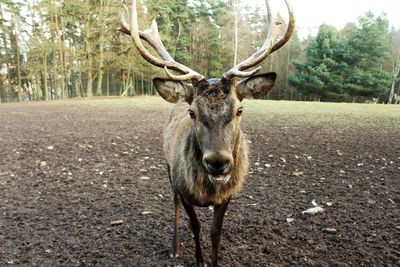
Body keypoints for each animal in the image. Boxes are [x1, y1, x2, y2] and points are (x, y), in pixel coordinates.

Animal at [119, 1, 294, 266]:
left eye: (239, 109)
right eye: (192, 112)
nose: (218, 162)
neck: (207, 192)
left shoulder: (228, 194)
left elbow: (215, 231)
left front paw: (214, 260)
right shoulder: (182, 188)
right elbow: (195, 225)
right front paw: (199, 259)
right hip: (168, 167)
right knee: (174, 203)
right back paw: (175, 247)